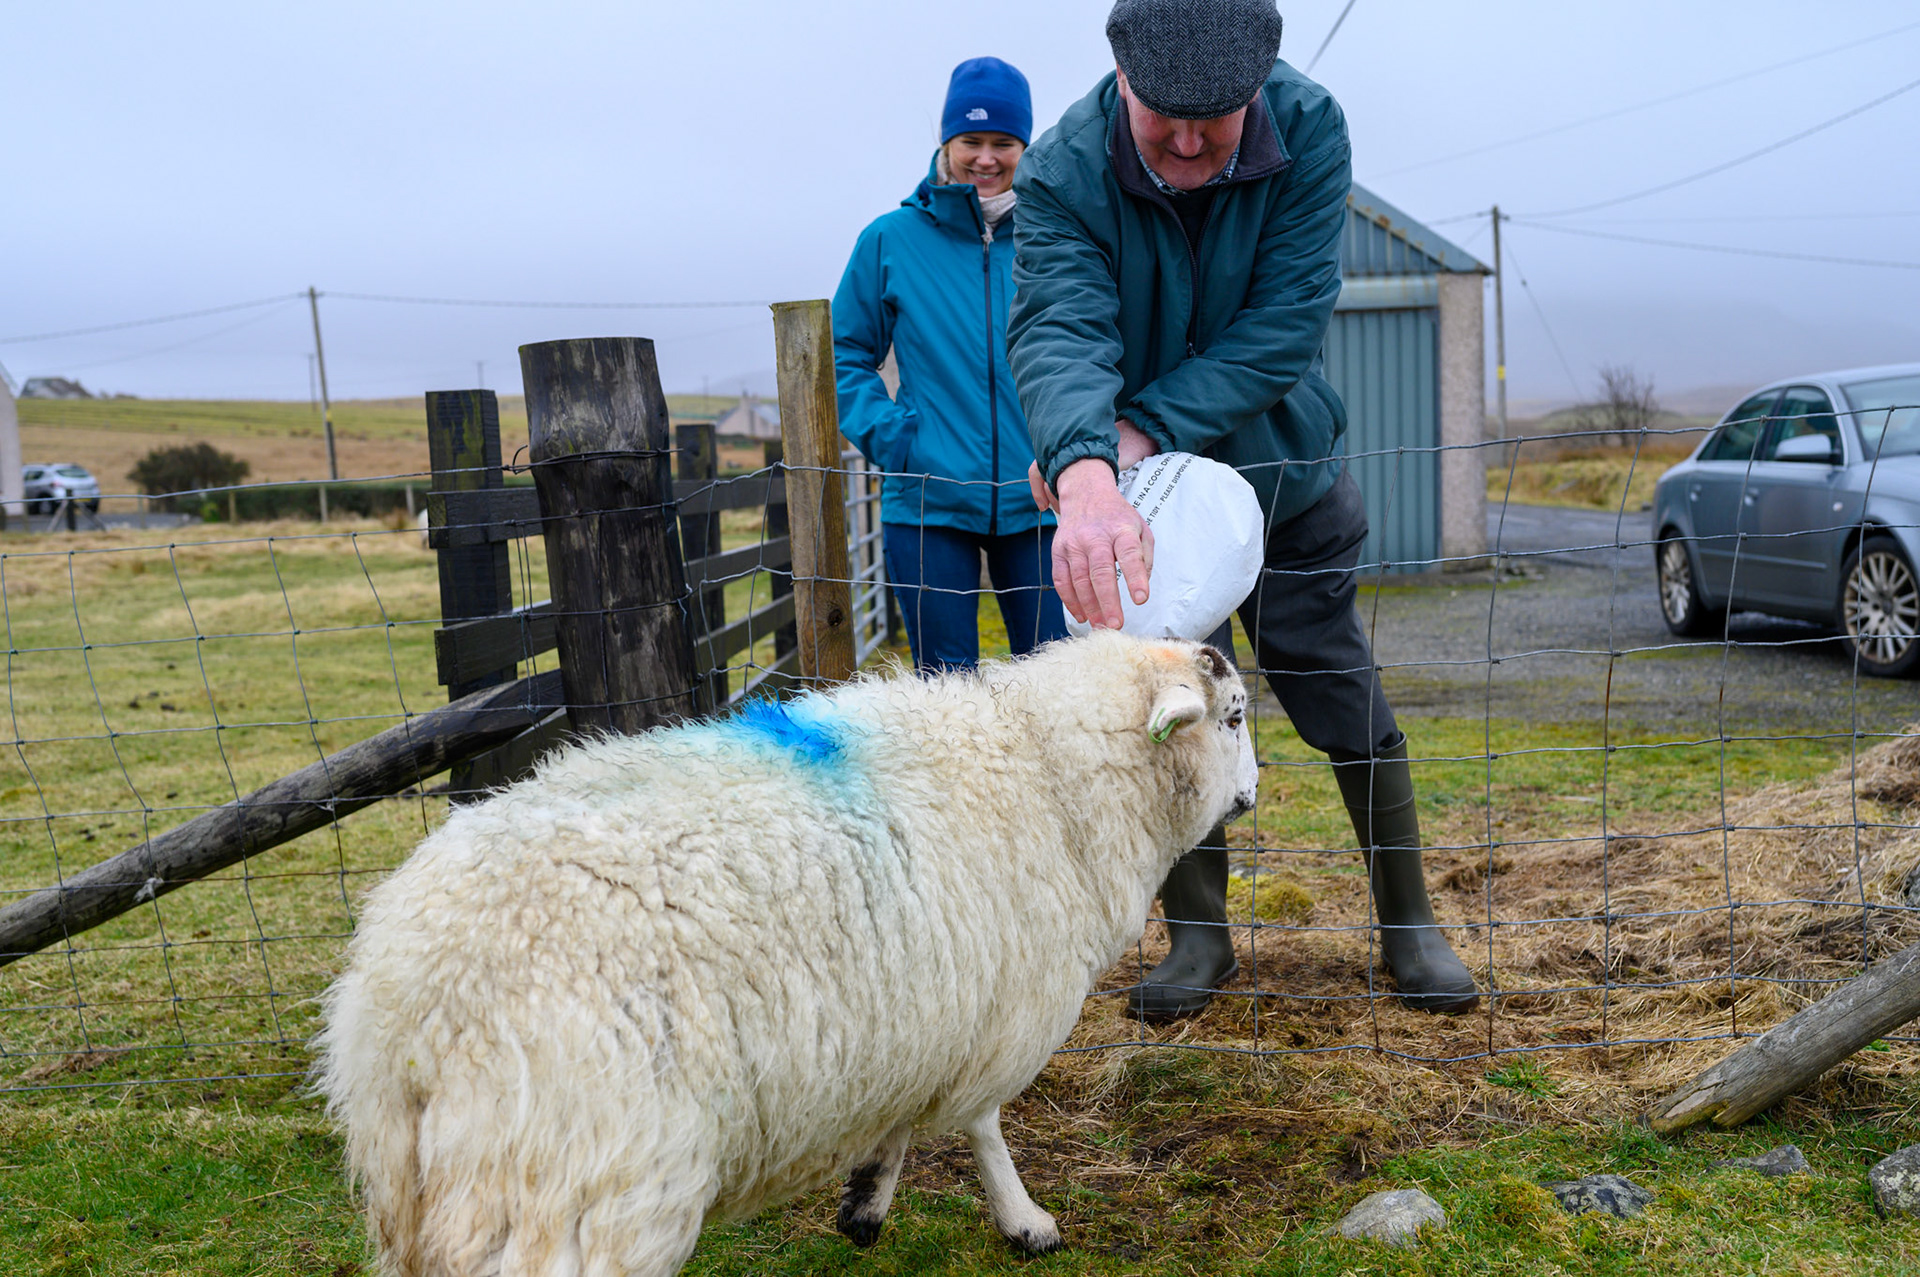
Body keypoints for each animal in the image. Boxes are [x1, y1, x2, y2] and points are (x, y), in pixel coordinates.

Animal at [315, 631, 1258, 1277]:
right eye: (1237, 716)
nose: (1252, 794)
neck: (1043, 766)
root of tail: (412, 1006)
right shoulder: (996, 1001)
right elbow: (982, 1122)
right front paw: (1025, 1222)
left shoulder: (920, 1006)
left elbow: (906, 1114)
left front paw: (866, 1199)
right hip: (586, 1166)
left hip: (444, 1188)